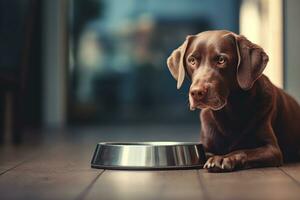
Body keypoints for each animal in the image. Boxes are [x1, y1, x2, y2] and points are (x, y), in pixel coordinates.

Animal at [166, 29, 300, 172]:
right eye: (191, 60)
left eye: (221, 60)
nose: (197, 92)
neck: (231, 112)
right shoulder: (204, 148)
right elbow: (208, 154)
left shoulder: (272, 149)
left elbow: (244, 150)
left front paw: (224, 158)